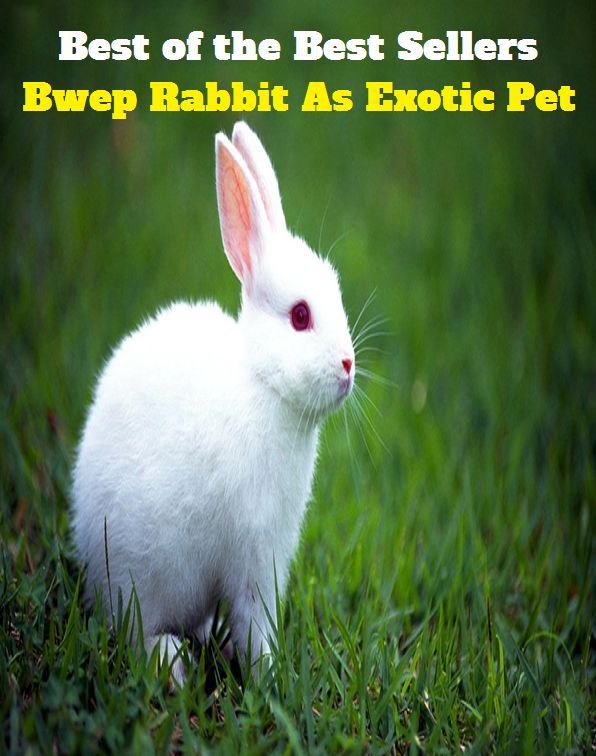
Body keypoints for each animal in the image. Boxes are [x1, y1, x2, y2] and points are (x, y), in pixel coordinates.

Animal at [72, 121, 355, 683]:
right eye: (300, 316)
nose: (348, 366)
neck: (263, 385)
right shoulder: (256, 554)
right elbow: (255, 623)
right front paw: (270, 675)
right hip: (143, 571)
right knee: (136, 631)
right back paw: (173, 662)